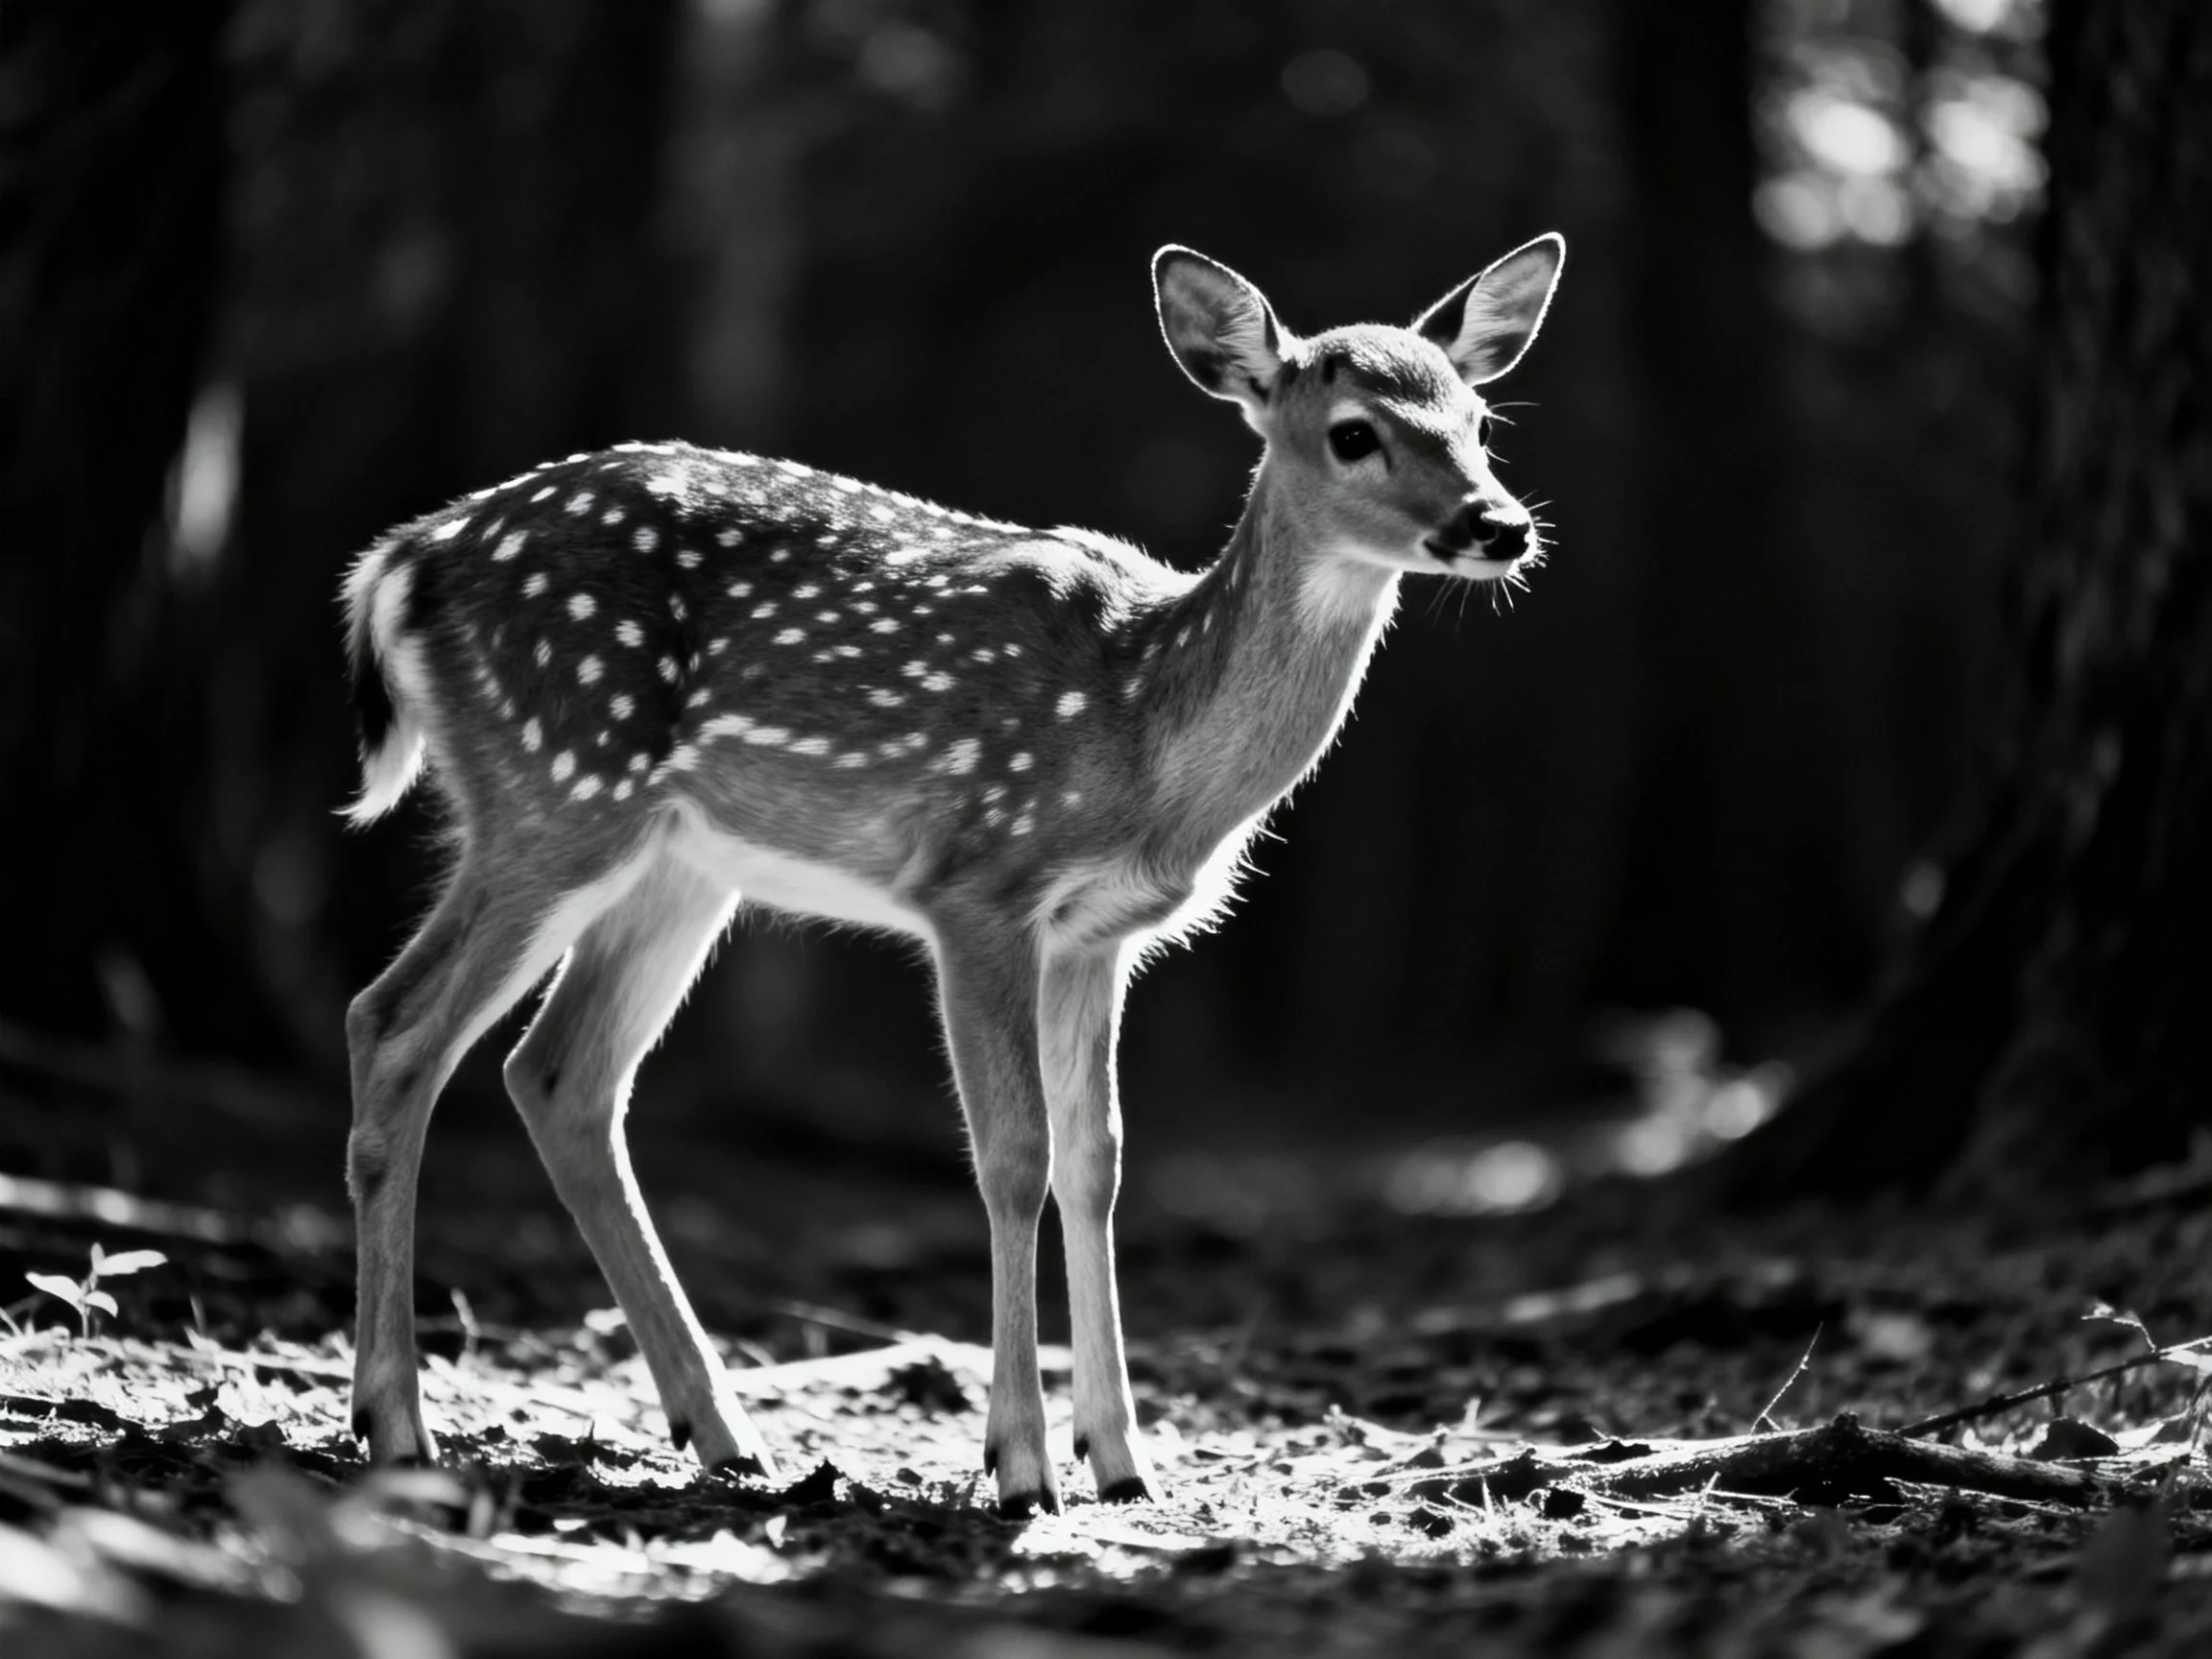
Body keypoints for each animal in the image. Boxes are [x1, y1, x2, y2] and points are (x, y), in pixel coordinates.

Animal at [338, 234, 1565, 1515]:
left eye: (1479, 417)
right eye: (1354, 432)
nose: (1500, 524)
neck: (1145, 736)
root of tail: (402, 562)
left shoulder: (1098, 936)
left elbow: (1098, 1159)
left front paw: (1124, 1461)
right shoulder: (980, 887)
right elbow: (1014, 1156)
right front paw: (1021, 1464)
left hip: (674, 860)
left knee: (558, 1075)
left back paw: (723, 1433)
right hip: (555, 788)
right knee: (396, 1025)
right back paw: (398, 1426)